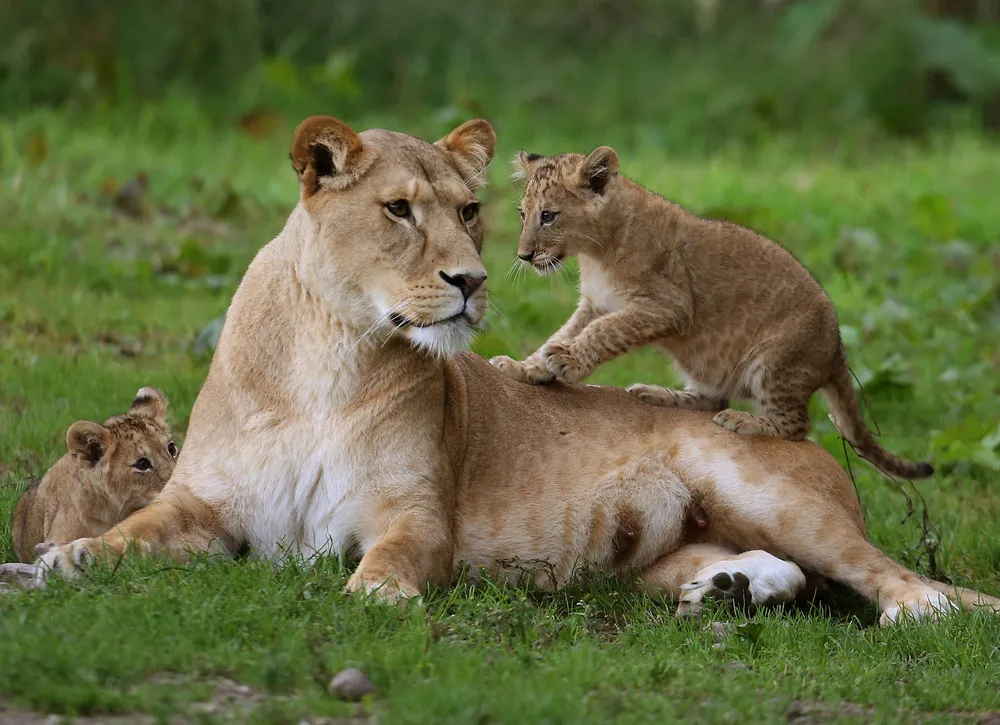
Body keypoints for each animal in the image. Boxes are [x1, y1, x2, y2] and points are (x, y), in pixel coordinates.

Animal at [11, 116, 997, 625]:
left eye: (469, 210)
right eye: (399, 210)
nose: (473, 280)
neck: (328, 352)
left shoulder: (416, 516)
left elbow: (388, 564)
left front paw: (371, 597)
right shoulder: (204, 504)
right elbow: (126, 537)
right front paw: (60, 558)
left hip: (767, 487)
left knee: (886, 576)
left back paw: (921, 609)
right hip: (665, 552)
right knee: (778, 573)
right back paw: (723, 590)